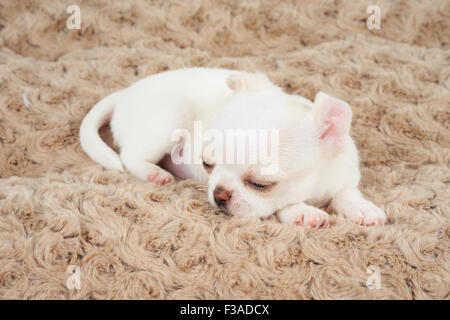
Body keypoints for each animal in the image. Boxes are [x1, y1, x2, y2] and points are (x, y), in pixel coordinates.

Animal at [79, 68, 384, 228]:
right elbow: (285, 206)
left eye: (260, 184)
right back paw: (154, 173)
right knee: (129, 156)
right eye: (207, 164)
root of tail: (124, 94)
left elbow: (346, 193)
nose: (219, 194)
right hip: (166, 123)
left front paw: (362, 208)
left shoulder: (344, 173)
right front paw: (303, 212)